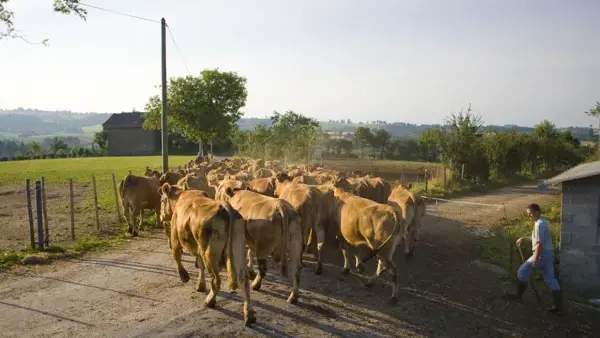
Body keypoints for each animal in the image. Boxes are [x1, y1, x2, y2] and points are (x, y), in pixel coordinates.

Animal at [158, 186, 254, 326]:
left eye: (162, 200)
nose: (161, 216)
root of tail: (225, 207)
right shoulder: (198, 247)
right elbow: (200, 265)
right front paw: (200, 285)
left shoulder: (175, 237)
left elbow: (176, 256)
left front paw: (184, 276)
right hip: (238, 250)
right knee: (244, 281)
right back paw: (249, 315)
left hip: (209, 253)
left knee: (216, 280)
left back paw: (209, 301)